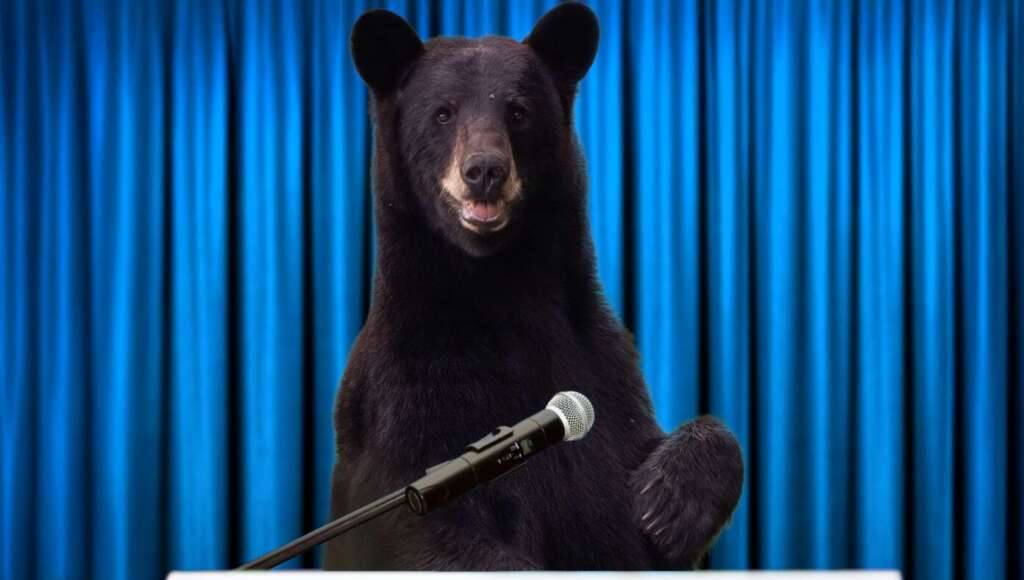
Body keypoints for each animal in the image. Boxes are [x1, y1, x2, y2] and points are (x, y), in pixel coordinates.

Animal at [324, 2, 744, 570]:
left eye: (519, 111)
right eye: (443, 113)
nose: (484, 169)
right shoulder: (403, 400)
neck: (499, 289)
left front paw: (669, 502)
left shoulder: (601, 370)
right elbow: (437, 537)